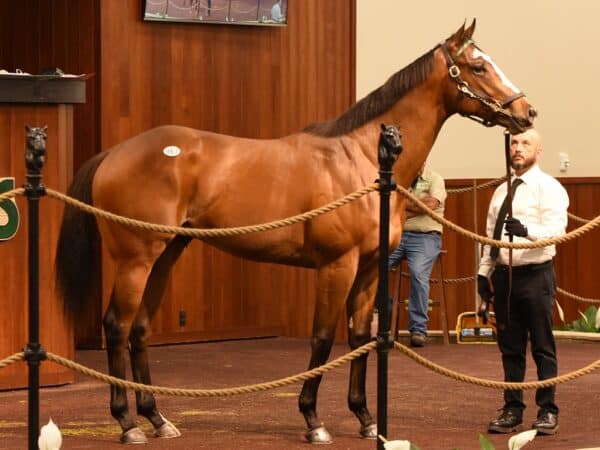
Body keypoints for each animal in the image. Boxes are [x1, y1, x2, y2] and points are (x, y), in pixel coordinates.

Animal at [55, 20, 536, 442]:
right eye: (478, 67)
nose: (526, 112)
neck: (362, 160)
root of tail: (115, 152)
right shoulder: (337, 266)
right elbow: (322, 339)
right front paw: (313, 421)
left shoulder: (370, 269)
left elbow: (358, 337)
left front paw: (366, 420)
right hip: (136, 259)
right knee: (117, 326)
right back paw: (127, 424)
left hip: (167, 254)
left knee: (139, 329)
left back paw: (157, 419)